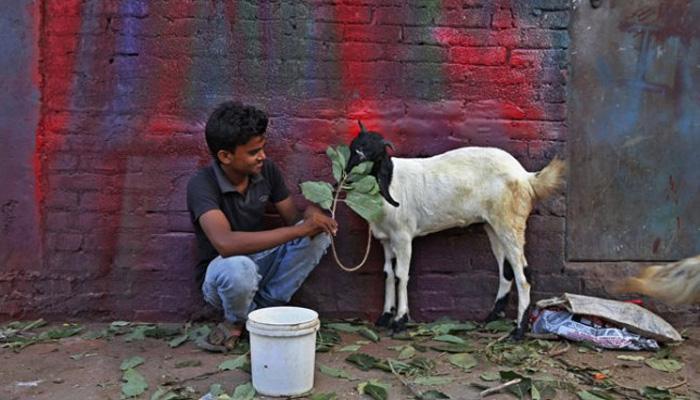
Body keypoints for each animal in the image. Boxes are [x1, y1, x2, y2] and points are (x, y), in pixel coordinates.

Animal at [348, 126, 568, 338]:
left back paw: (519, 331)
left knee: (523, 275)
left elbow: (401, 275)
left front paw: (399, 321)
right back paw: (491, 318)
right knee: (505, 270)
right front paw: (385, 317)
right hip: (493, 225)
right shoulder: (386, 239)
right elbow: (388, 273)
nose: (350, 174)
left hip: (510, 223)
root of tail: (526, 177)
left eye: (375, 154)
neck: (391, 183)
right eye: (353, 148)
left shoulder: (403, 236)